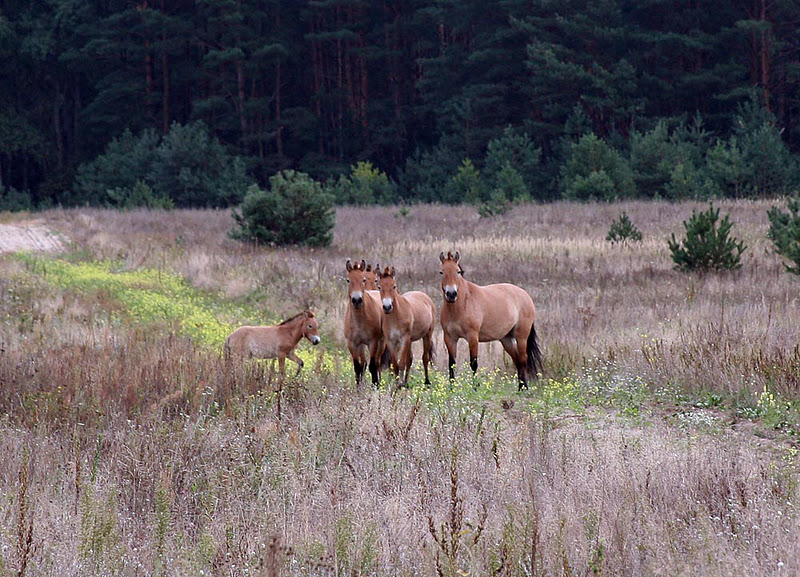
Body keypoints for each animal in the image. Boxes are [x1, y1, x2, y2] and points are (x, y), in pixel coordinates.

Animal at [439, 251, 543, 390]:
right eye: (441, 272)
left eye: (458, 271)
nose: (451, 294)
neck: (460, 306)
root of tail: (525, 295)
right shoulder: (450, 338)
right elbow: (451, 363)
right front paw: (452, 389)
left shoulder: (473, 337)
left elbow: (473, 363)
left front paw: (475, 389)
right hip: (506, 339)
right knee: (517, 360)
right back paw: (520, 388)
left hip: (521, 337)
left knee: (522, 359)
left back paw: (523, 388)